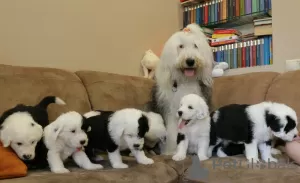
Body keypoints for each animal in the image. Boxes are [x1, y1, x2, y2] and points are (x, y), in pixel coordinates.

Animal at [148, 22, 213, 155]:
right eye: (181, 46)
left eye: (195, 45)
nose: (190, 61)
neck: (185, 81)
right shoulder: (171, 110)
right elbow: (173, 132)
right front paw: (172, 151)